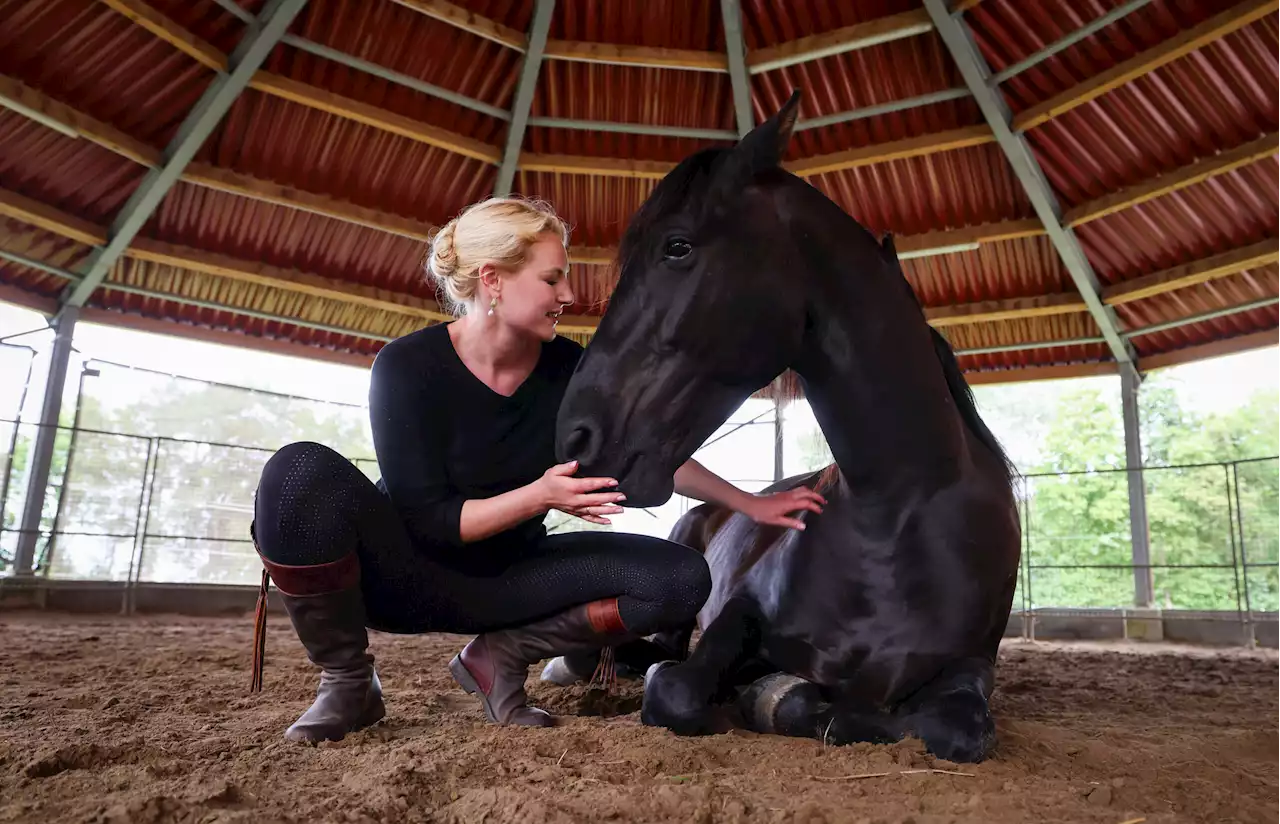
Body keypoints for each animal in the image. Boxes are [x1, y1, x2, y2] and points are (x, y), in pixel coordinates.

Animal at [555, 88, 1024, 757]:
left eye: (678, 246)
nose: (576, 435)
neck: (897, 518)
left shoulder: (973, 666)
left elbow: (949, 728)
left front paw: (773, 694)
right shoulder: (739, 613)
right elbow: (676, 687)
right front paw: (760, 691)